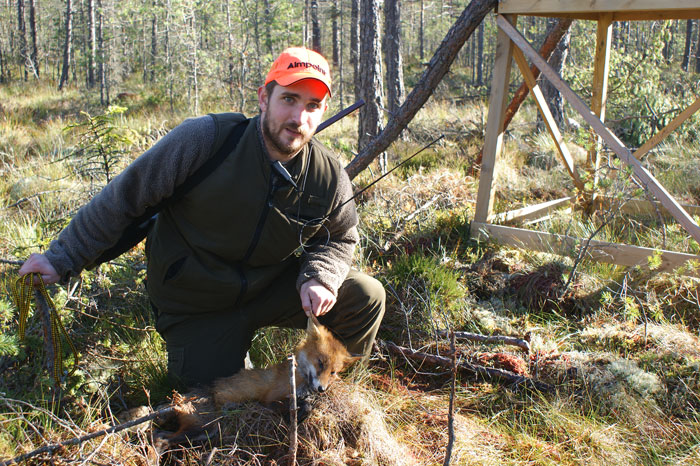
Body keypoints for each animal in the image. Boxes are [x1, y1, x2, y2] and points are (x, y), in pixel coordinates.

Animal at [154, 314, 360, 446]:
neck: (298, 376)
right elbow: (300, 405)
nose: (322, 389)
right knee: (159, 439)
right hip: (203, 427)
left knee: (160, 435)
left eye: (333, 372)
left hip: (205, 431)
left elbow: (307, 403)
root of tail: (182, 397)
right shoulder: (269, 400)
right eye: (320, 363)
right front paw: (296, 416)